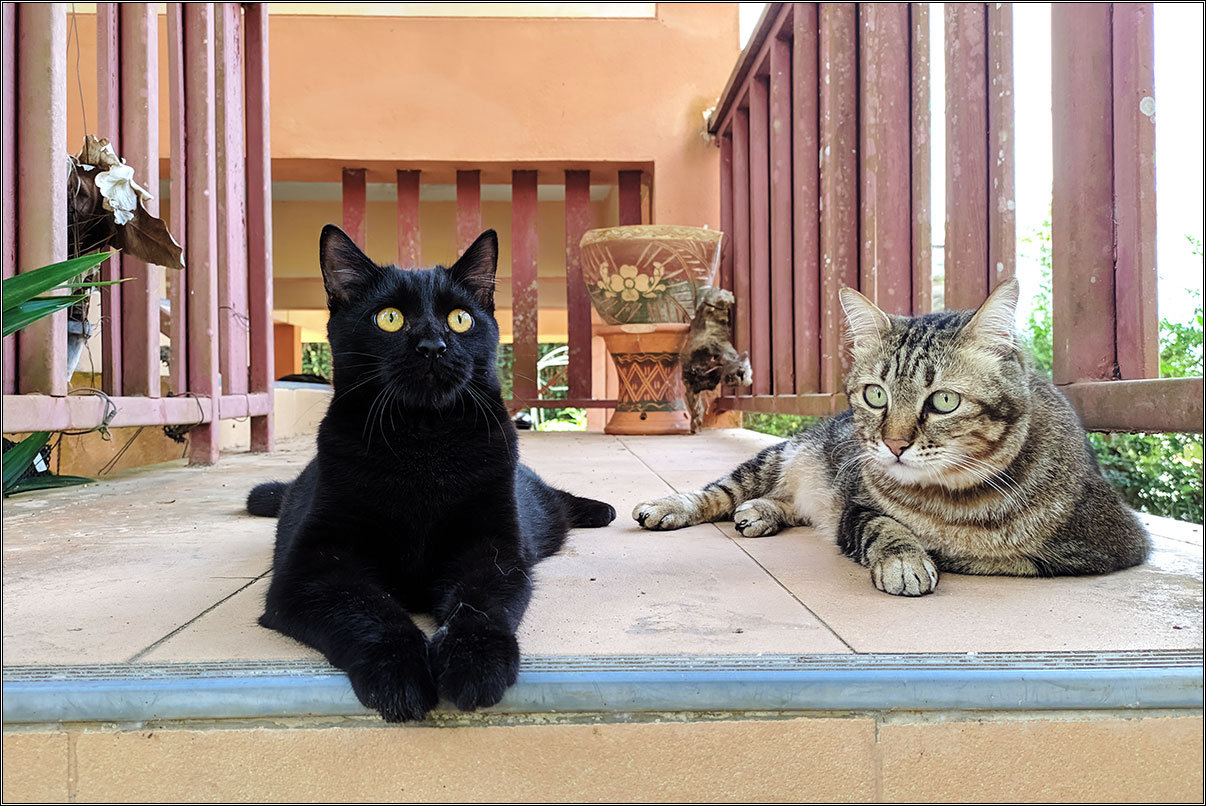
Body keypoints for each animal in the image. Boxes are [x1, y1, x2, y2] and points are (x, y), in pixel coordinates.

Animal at [248, 226, 616, 720]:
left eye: (460, 319)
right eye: (389, 319)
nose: (432, 347)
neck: (423, 444)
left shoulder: (493, 547)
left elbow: (479, 604)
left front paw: (476, 663)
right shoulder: (310, 565)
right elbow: (368, 608)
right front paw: (399, 672)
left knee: (553, 498)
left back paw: (601, 509)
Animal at [633, 279, 1150, 595]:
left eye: (944, 401)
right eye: (875, 394)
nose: (894, 445)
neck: (951, 497)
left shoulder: (1105, 546)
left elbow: (983, 555)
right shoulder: (856, 507)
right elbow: (887, 527)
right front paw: (906, 558)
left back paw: (762, 512)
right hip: (777, 458)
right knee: (718, 492)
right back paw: (674, 506)